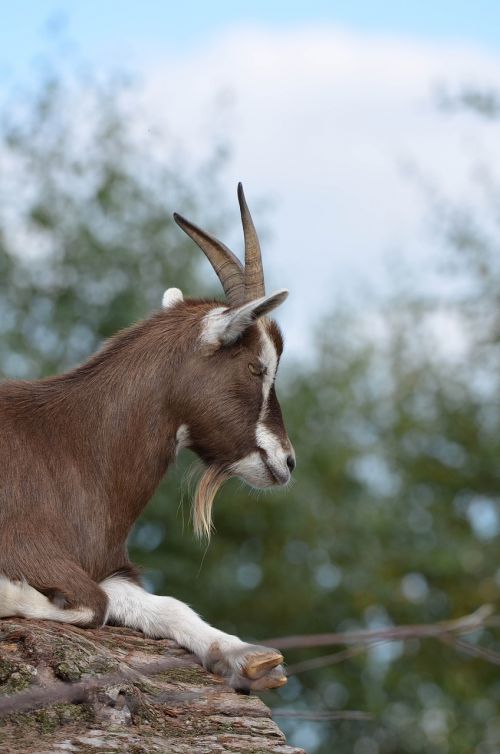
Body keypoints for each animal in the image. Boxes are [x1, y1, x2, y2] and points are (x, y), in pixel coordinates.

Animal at [0, 182, 294, 688]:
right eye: (257, 366)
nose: (287, 461)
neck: (70, 444)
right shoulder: (25, 545)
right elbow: (92, 605)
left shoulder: (108, 568)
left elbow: (165, 605)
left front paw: (245, 657)